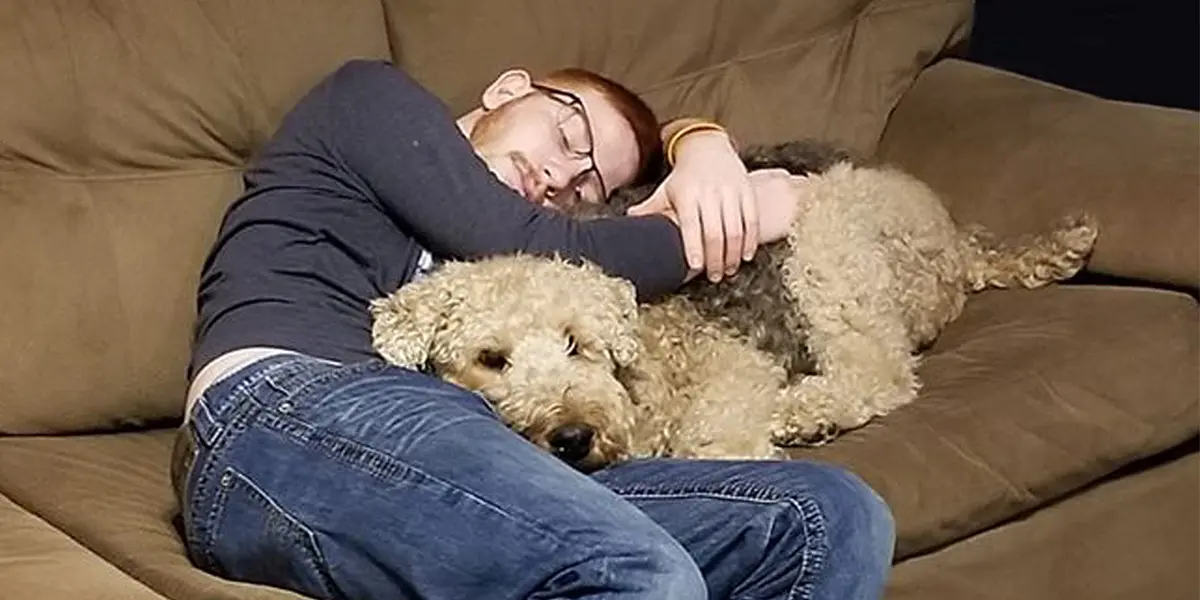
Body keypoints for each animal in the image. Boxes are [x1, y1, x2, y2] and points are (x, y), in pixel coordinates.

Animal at [367, 138, 1099, 470]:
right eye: (491, 359)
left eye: (577, 342)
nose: (572, 437)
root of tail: (957, 239)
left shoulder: (733, 370)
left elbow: (718, 435)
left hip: (825, 238)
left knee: (880, 373)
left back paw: (804, 413)